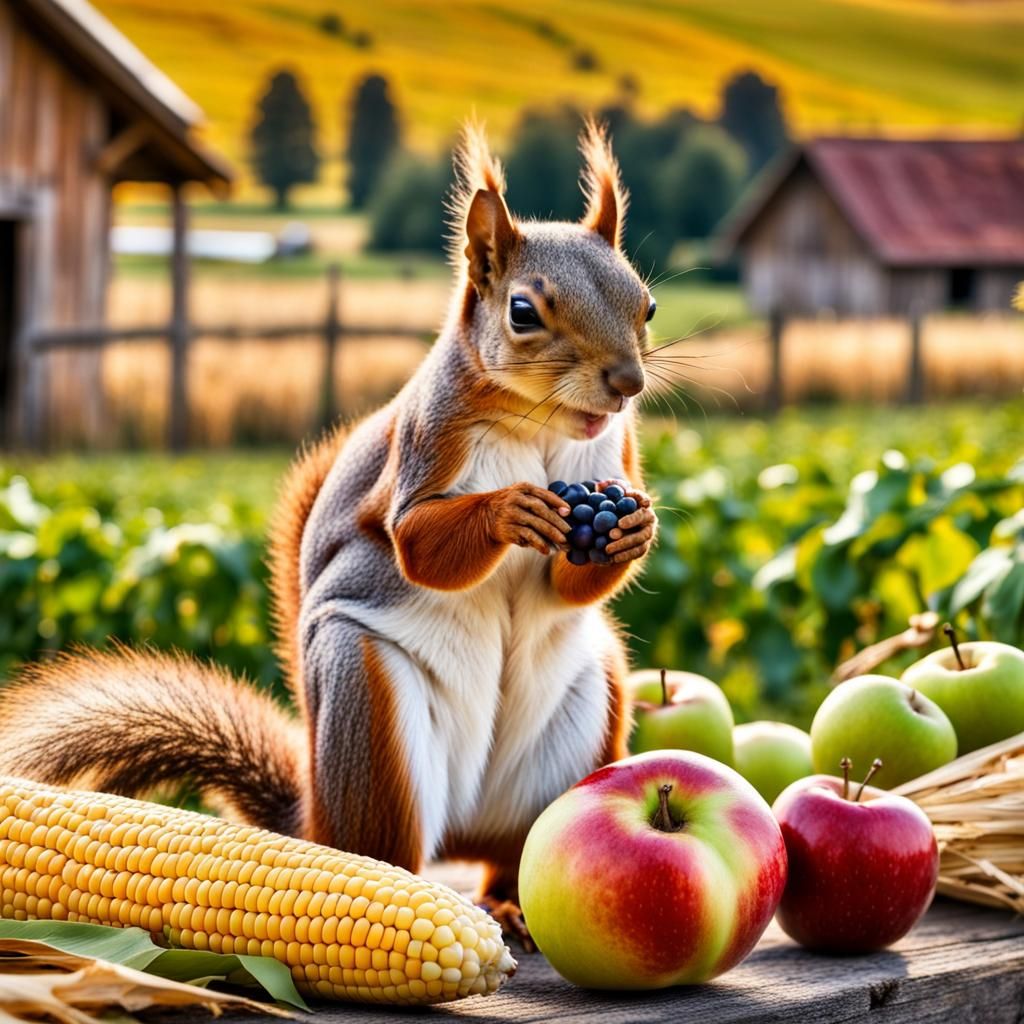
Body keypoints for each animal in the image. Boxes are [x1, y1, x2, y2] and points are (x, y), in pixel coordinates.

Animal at [0, 120, 658, 941]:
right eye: (523, 313)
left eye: (647, 305)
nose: (628, 383)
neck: (539, 428)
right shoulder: (425, 446)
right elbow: (418, 546)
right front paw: (511, 509)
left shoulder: (611, 463)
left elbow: (572, 576)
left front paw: (632, 531)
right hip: (368, 713)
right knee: (380, 852)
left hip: (582, 722)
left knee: (514, 853)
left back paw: (510, 903)